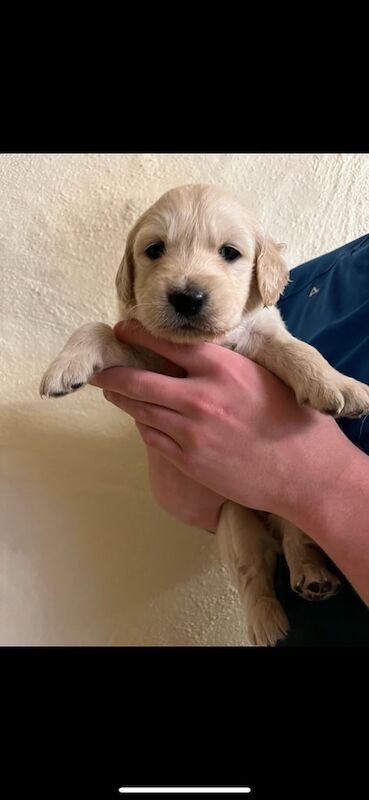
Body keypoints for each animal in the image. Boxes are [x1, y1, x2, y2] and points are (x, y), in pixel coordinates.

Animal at [40, 186, 368, 644]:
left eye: (230, 252)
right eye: (154, 250)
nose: (187, 297)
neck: (205, 343)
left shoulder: (261, 332)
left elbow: (296, 347)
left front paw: (339, 383)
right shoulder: (151, 359)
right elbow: (96, 327)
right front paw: (66, 364)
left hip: (298, 510)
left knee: (296, 541)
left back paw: (311, 576)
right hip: (235, 522)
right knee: (253, 575)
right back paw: (266, 622)